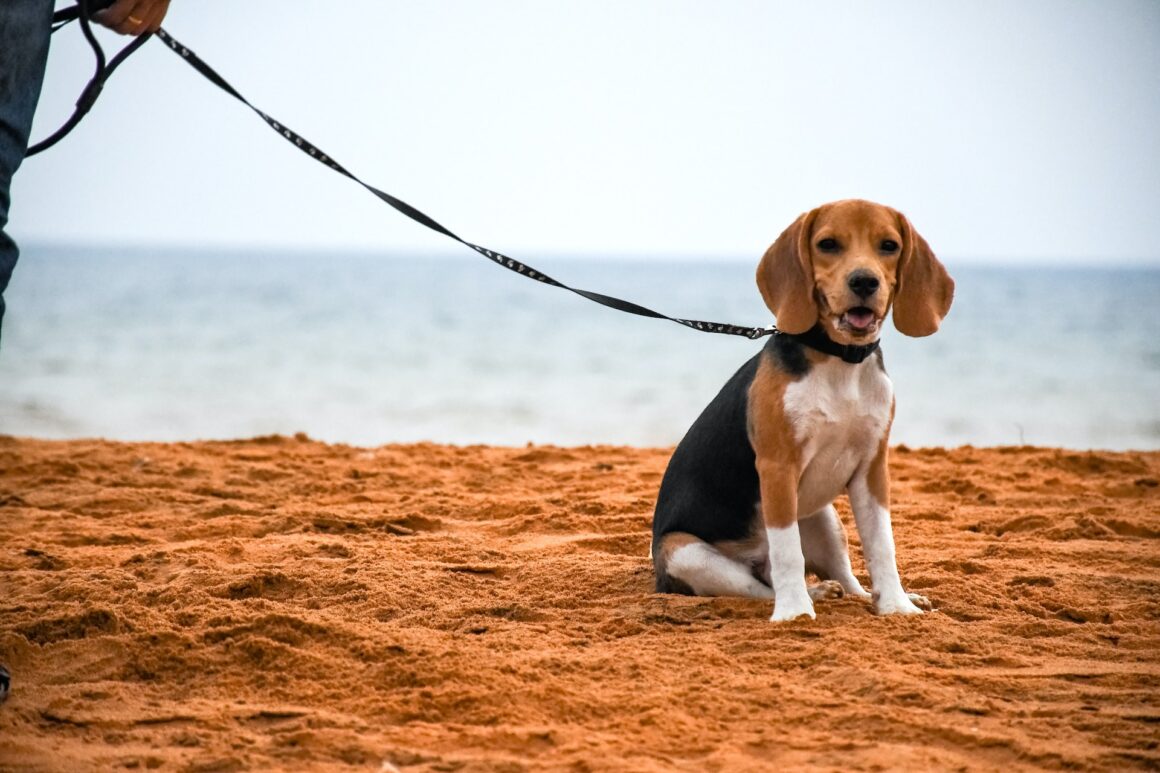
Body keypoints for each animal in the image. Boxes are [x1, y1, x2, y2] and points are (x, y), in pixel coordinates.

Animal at [649, 198, 955, 622]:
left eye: (889, 246)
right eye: (828, 244)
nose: (864, 281)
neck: (841, 361)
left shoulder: (873, 468)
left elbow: (882, 545)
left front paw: (897, 605)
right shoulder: (778, 468)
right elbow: (788, 553)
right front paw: (794, 612)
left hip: (822, 516)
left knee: (845, 578)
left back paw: (858, 594)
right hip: (685, 551)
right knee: (761, 586)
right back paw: (808, 596)